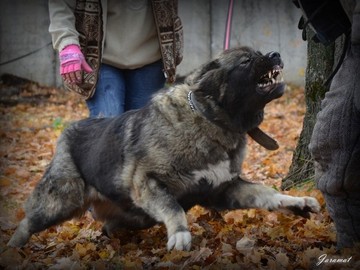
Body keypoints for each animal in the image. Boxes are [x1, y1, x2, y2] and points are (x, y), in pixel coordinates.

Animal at [7, 47, 320, 251]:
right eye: (247, 60)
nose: (276, 54)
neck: (210, 118)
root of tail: (69, 131)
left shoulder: (225, 188)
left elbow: (265, 193)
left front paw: (296, 202)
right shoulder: (147, 182)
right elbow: (173, 207)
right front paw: (180, 233)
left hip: (126, 215)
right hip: (61, 201)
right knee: (28, 222)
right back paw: (12, 248)